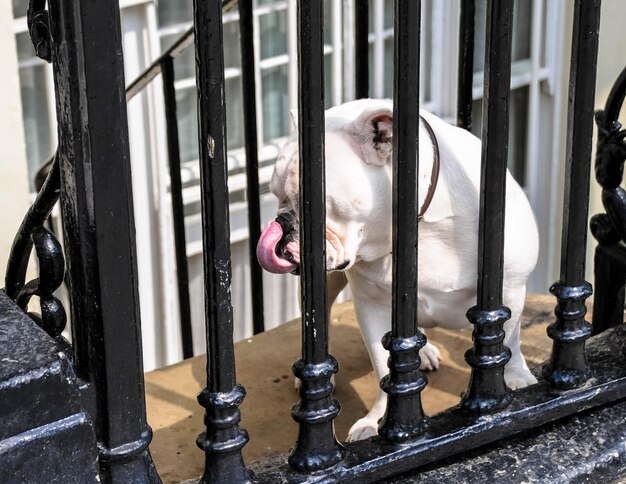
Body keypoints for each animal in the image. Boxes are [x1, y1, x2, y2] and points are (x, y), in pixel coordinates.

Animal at [254, 98, 536, 442]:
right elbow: (383, 366)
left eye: (312, 205)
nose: (281, 224)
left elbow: (509, 339)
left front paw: (518, 380)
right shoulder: (372, 306)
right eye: (277, 196)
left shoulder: (510, 287)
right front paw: (376, 420)